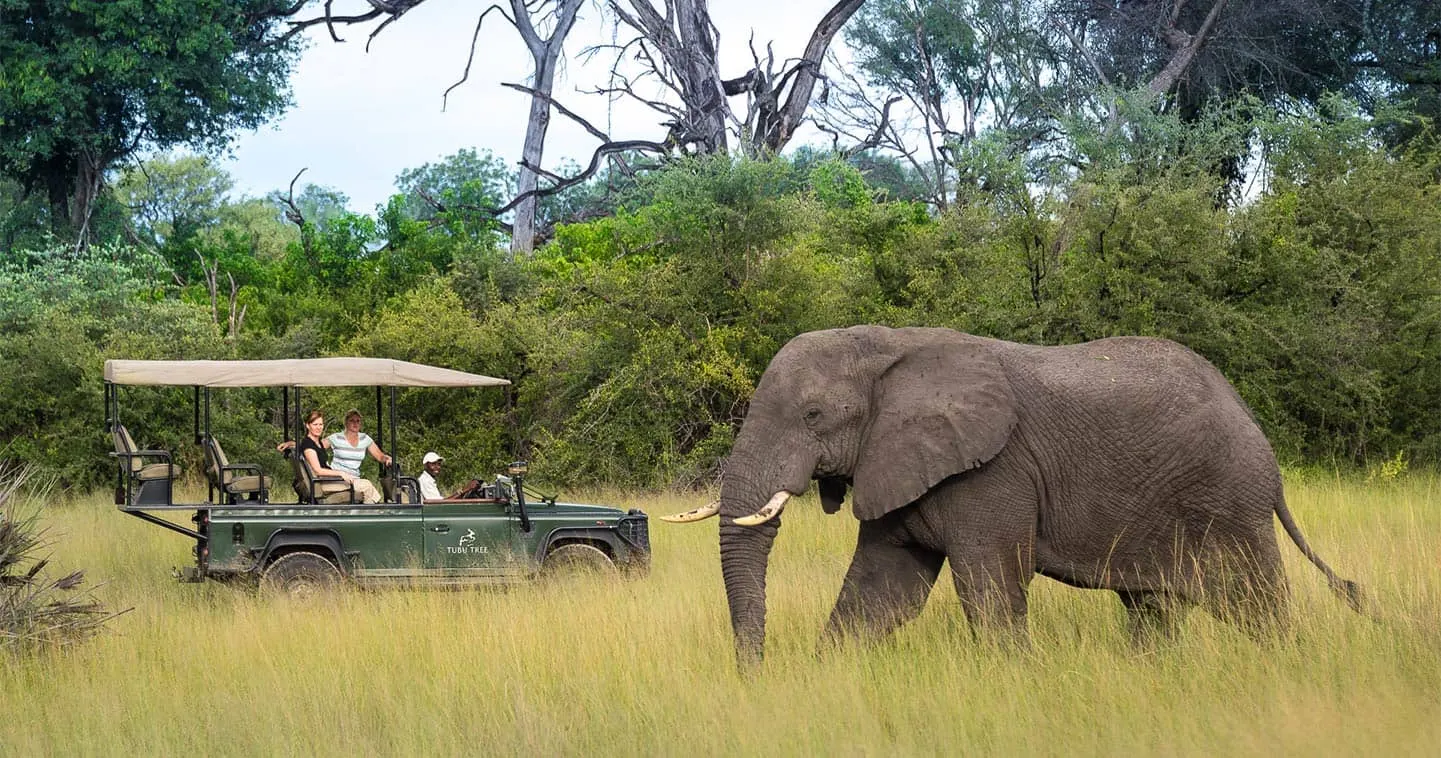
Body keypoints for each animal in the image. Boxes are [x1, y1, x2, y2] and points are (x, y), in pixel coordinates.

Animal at [663, 326, 1363, 667]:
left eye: (812, 415)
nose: (754, 675)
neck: (887, 348)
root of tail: (1261, 441)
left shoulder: (993, 473)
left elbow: (990, 589)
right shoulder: (901, 460)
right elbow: (881, 591)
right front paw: (822, 680)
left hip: (1226, 501)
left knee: (1255, 601)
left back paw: (1285, 666)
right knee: (1153, 608)